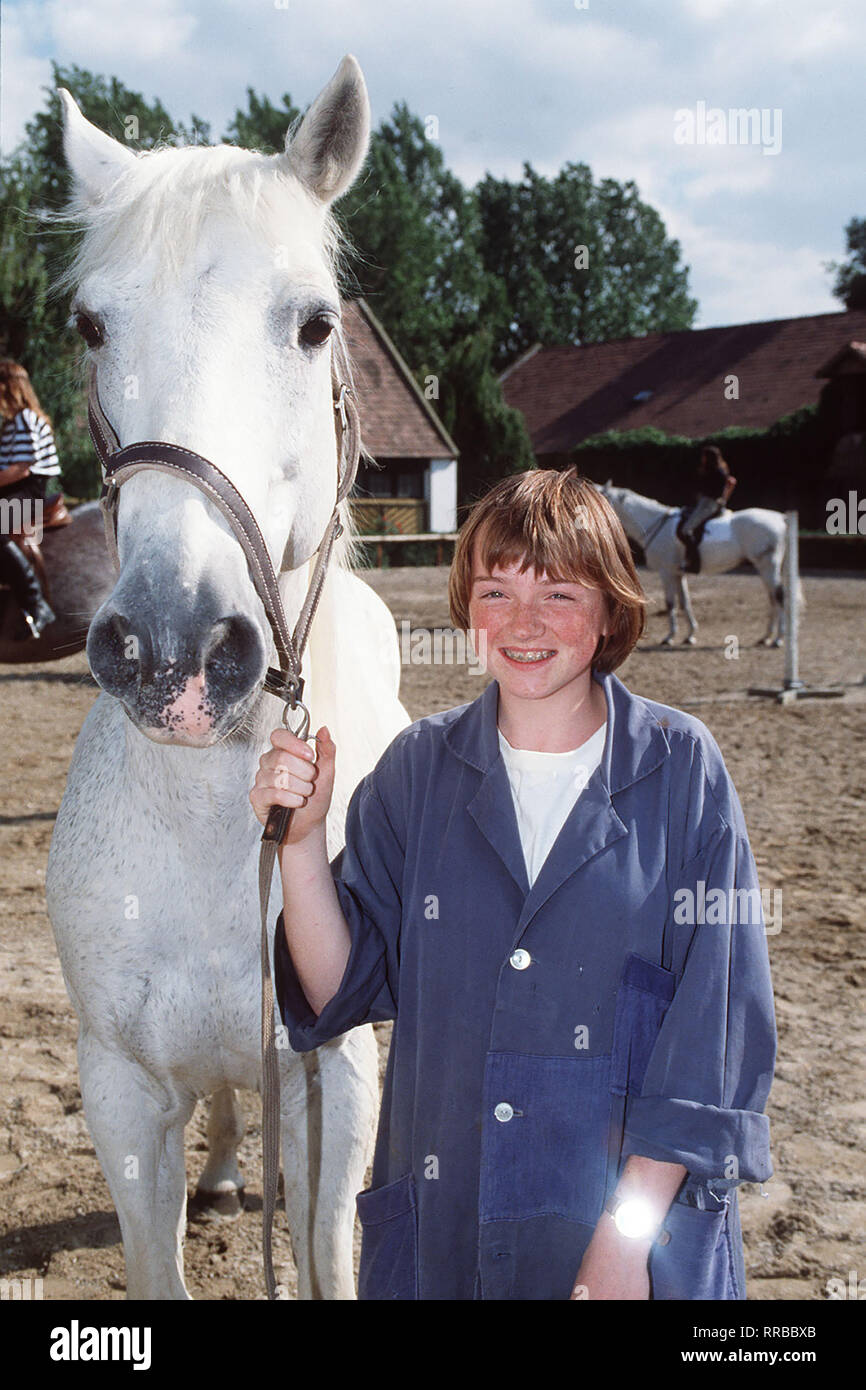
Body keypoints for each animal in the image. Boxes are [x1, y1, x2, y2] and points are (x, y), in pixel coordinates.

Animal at [594, 480, 800, 647]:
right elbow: (685, 602)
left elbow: (671, 603)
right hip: (764, 568)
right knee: (772, 598)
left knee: (779, 596)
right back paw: (766, 637)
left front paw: (669, 637)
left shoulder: (666, 572)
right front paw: (690, 635)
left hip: (768, 566)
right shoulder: (678, 573)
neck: (655, 524)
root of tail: (779, 518)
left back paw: (778, 639)